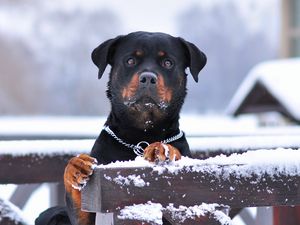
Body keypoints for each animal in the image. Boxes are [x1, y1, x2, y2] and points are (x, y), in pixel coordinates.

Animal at [35, 31, 206, 225]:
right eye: (130, 61)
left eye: (168, 63)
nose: (148, 78)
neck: (140, 135)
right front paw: (76, 167)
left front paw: (163, 149)